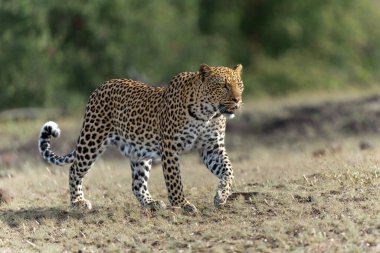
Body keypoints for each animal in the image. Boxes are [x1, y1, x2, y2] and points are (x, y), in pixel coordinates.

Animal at [38, 63, 245, 213]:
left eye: (240, 85)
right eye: (224, 85)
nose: (238, 100)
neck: (207, 115)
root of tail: (102, 86)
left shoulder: (212, 148)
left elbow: (229, 171)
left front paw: (221, 195)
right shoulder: (170, 148)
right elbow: (175, 180)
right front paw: (182, 204)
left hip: (139, 152)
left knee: (137, 184)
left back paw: (151, 203)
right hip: (92, 139)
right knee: (74, 169)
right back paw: (78, 202)